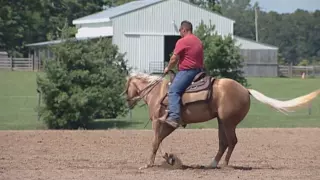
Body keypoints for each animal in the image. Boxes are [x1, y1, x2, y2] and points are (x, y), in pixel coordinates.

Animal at [123, 70, 320, 169]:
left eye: (126, 85)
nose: (127, 100)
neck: (156, 92)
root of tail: (245, 90)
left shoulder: (158, 121)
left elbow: (155, 141)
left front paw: (150, 163)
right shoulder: (168, 123)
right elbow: (160, 140)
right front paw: (169, 158)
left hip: (228, 121)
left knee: (231, 141)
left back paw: (224, 165)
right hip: (221, 122)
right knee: (223, 143)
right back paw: (213, 164)